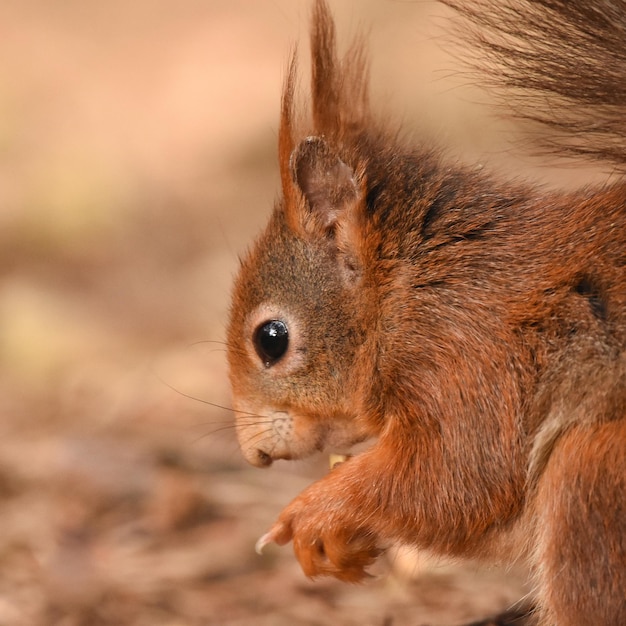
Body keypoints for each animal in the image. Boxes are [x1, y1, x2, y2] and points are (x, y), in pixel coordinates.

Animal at [225, 2, 624, 620]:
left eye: (271, 339)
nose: (254, 454)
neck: (409, 293)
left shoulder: (470, 357)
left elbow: (454, 478)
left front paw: (312, 512)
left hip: (592, 478)